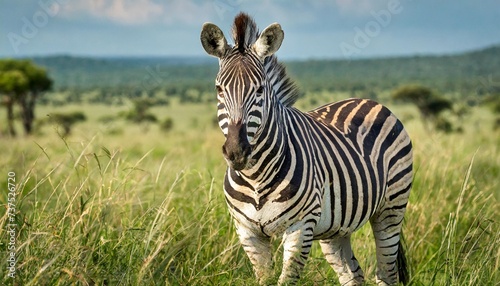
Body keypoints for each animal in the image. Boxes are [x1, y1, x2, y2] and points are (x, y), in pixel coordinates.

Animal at [201, 12, 412, 286]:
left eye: (259, 89)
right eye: (219, 89)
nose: (236, 152)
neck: (256, 177)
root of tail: (370, 101)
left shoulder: (300, 227)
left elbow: (287, 278)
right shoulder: (248, 233)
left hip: (391, 209)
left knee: (387, 273)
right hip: (336, 228)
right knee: (353, 275)